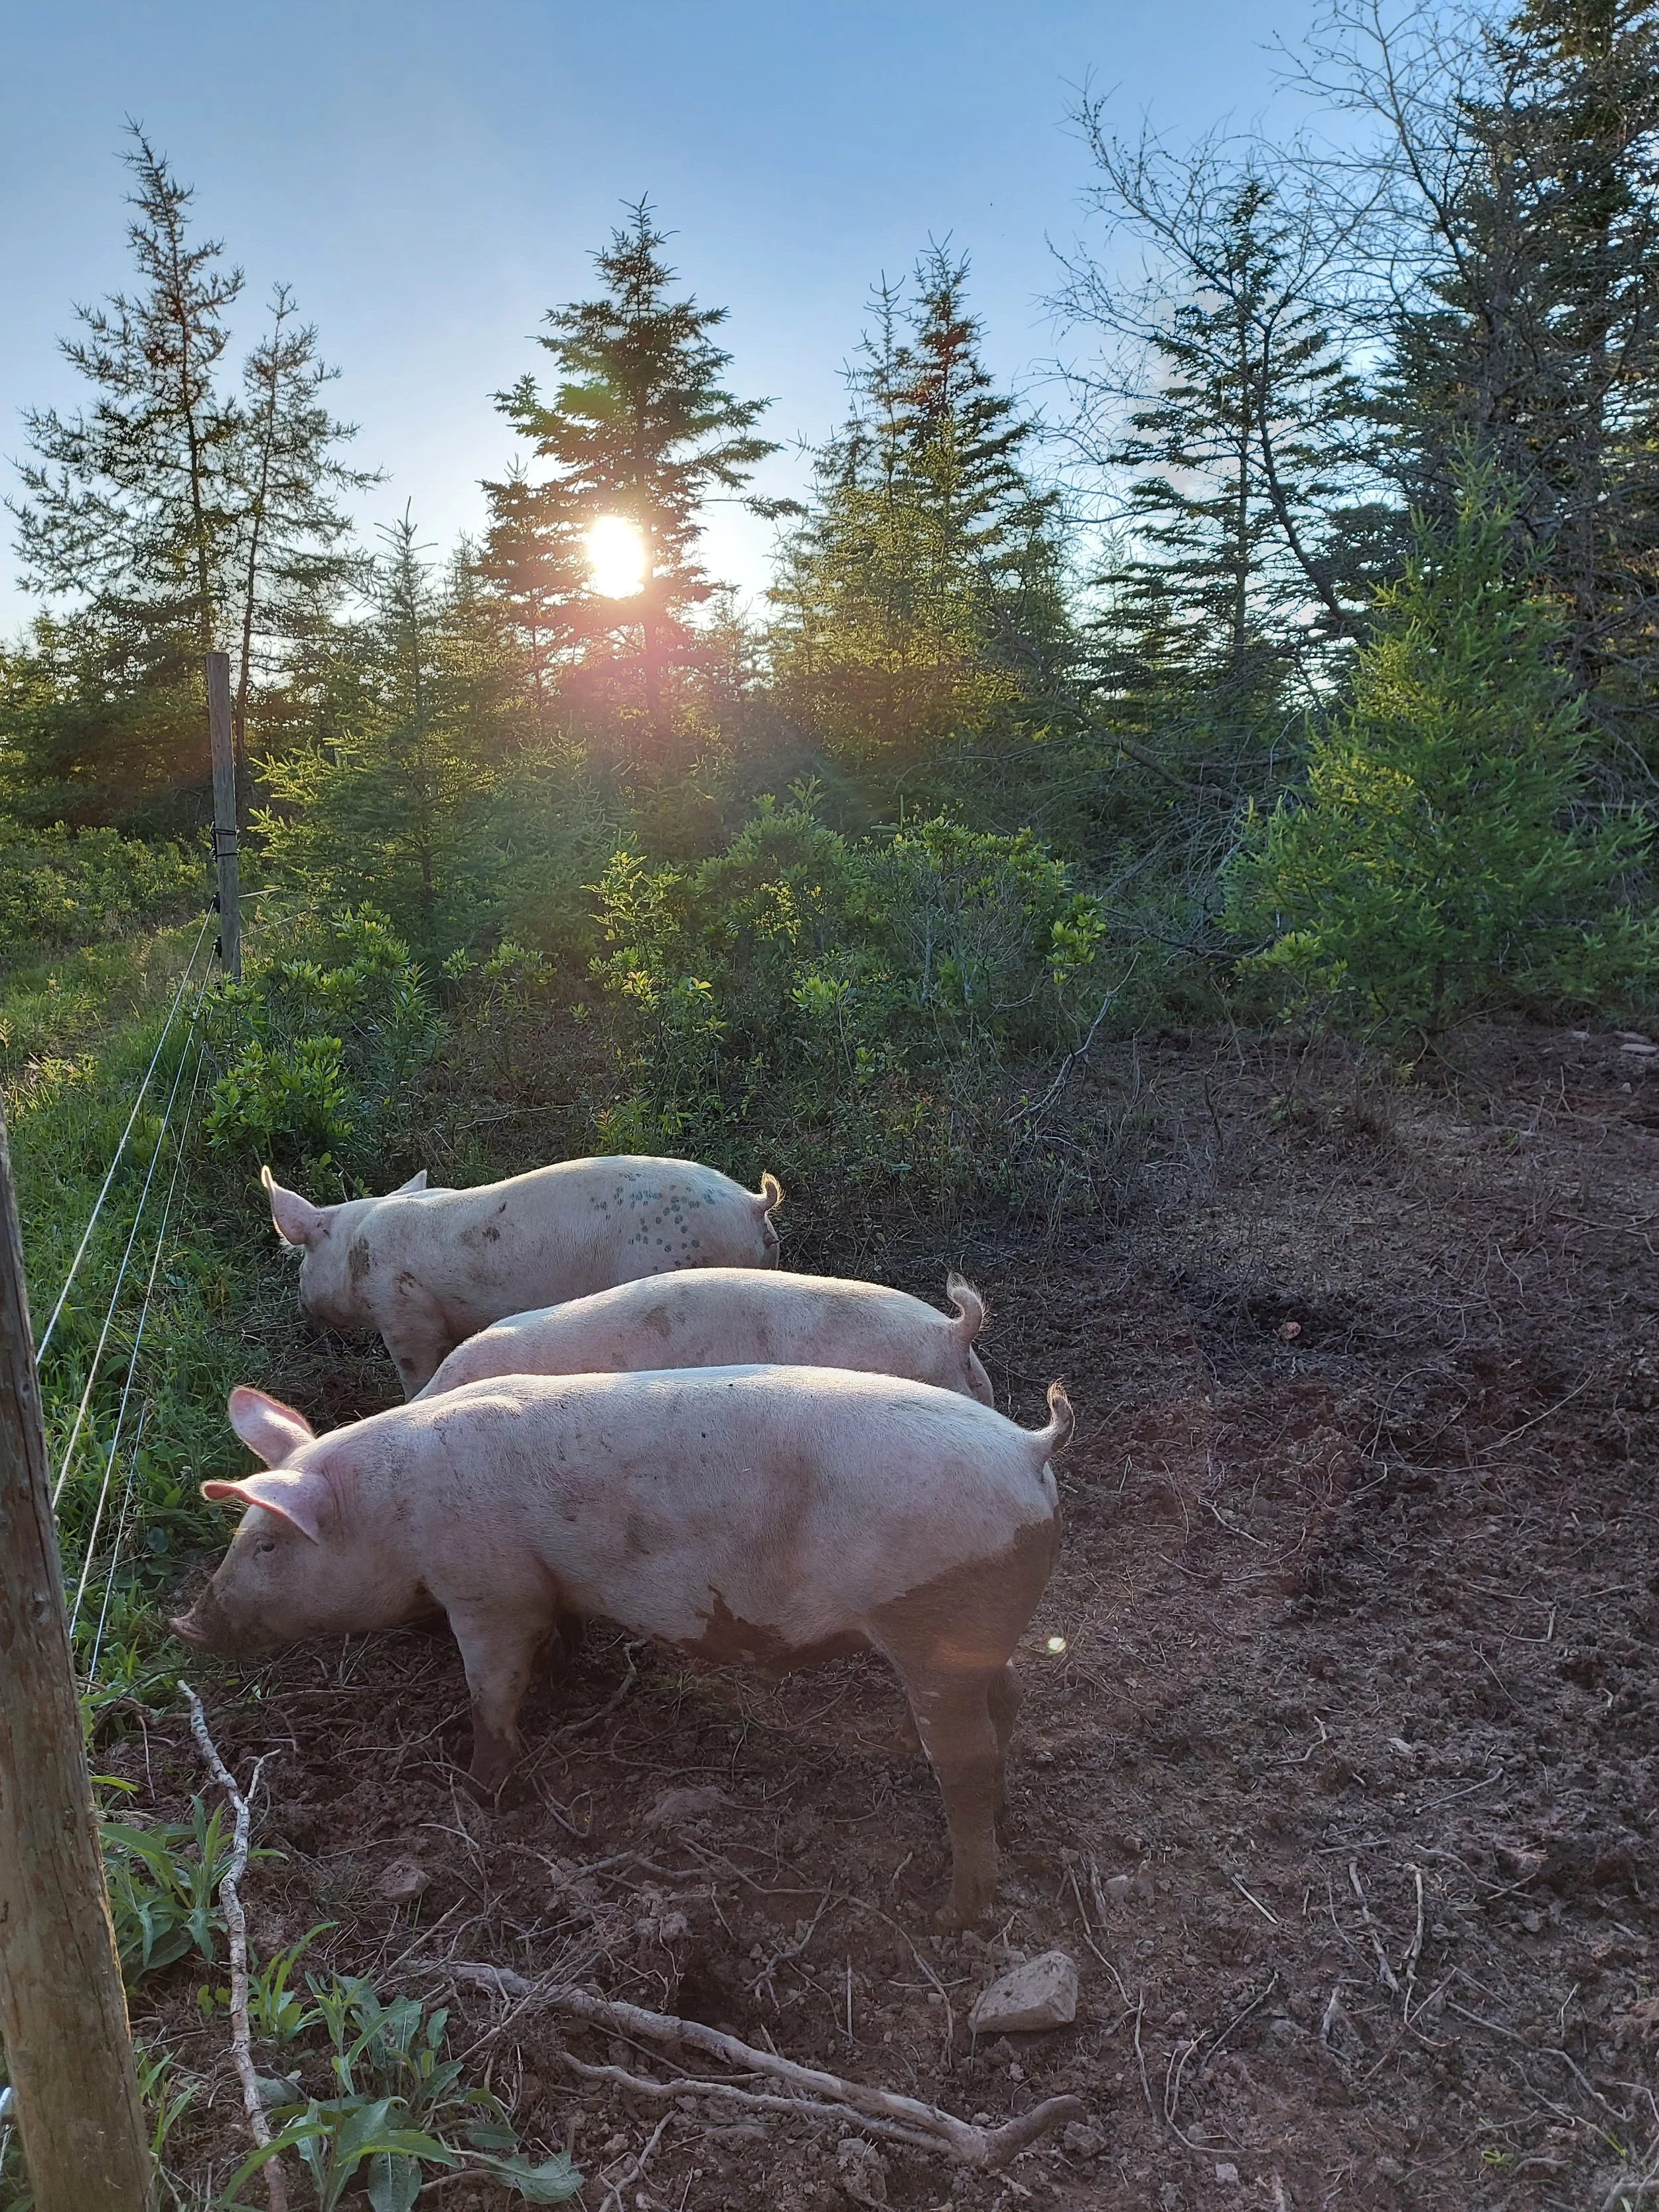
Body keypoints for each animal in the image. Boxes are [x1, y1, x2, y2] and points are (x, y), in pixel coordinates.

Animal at [171, 1365, 1071, 1925]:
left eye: (267, 1545)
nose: (185, 1626)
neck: (392, 1511)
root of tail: (1027, 1449)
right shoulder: (542, 1590)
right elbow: (555, 1640)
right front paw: (564, 1675)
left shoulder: (486, 1590)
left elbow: (490, 1687)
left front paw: (477, 1790)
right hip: (971, 1638)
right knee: (1010, 1700)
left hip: (929, 1625)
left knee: (964, 1759)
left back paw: (950, 1912)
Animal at [261, 1155, 783, 1397]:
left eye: (303, 1255)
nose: (303, 1308)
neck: (356, 1247)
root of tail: (752, 1204)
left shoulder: (403, 1312)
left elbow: (416, 1371)